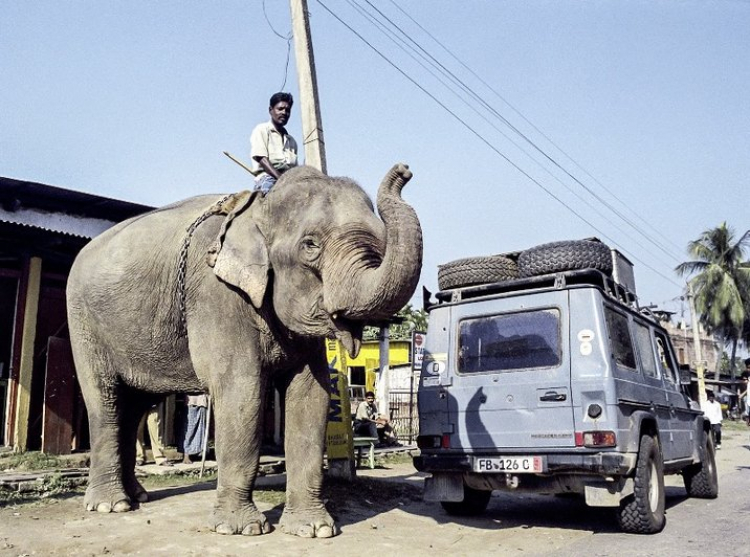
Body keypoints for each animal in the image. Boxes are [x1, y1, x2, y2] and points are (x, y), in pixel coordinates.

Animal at [66, 163, 424, 536]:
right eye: (310, 245)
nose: (403, 170)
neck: (259, 209)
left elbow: (311, 395)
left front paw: (314, 529)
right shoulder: (217, 294)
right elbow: (242, 391)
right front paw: (241, 529)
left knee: (136, 404)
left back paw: (137, 496)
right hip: (84, 321)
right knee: (106, 401)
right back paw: (111, 505)